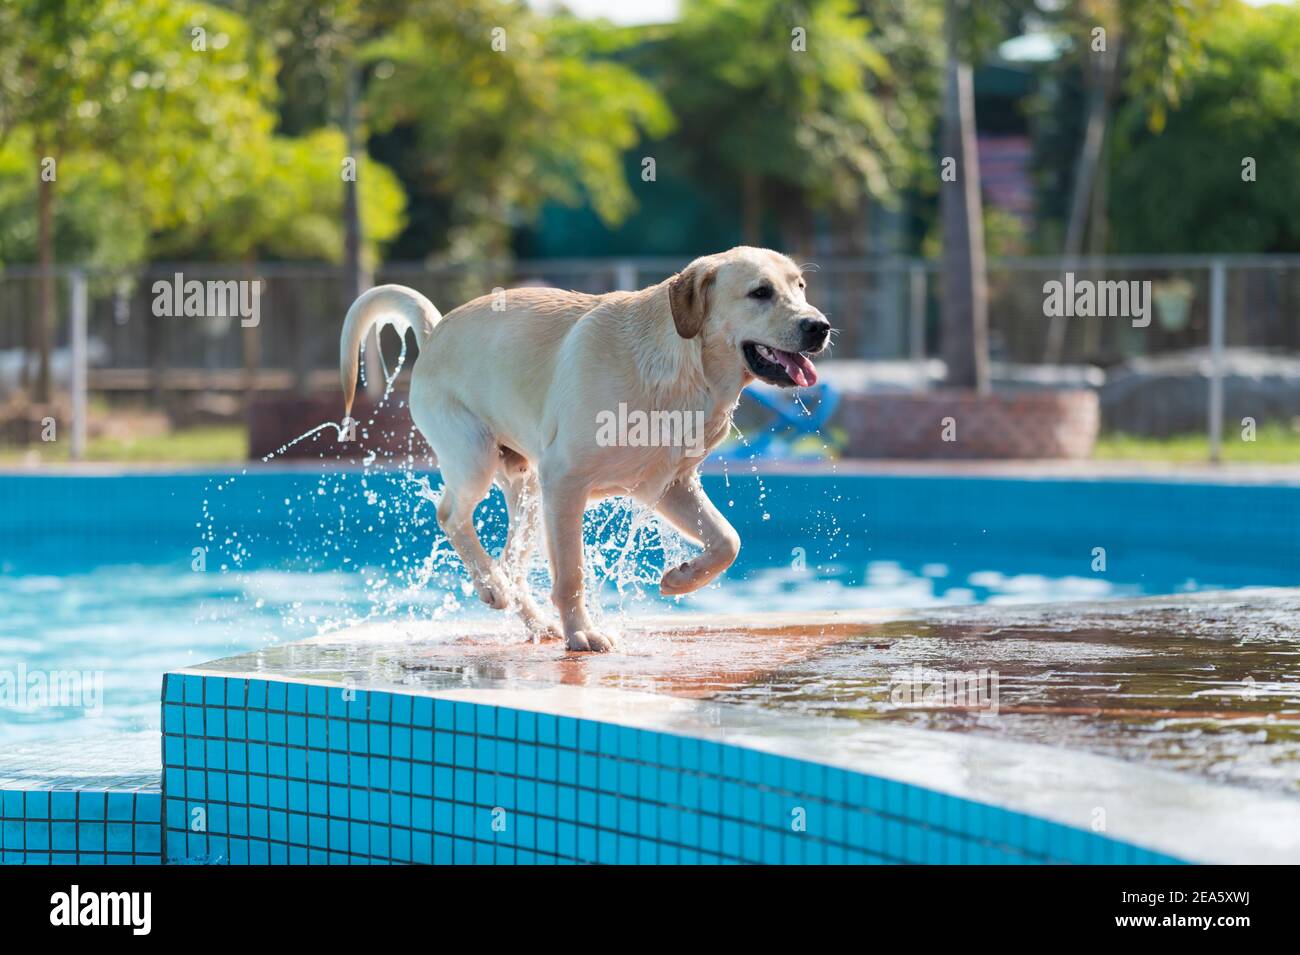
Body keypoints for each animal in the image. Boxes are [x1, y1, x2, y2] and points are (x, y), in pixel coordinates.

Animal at [343, 244, 832, 649]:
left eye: (801, 286)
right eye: (760, 292)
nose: (820, 326)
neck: (681, 368)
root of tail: (435, 329)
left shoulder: (668, 485)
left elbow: (728, 540)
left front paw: (681, 578)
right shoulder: (566, 481)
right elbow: (571, 575)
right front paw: (582, 634)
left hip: (528, 489)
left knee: (512, 563)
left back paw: (534, 620)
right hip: (475, 456)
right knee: (451, 517)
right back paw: (491, 588)